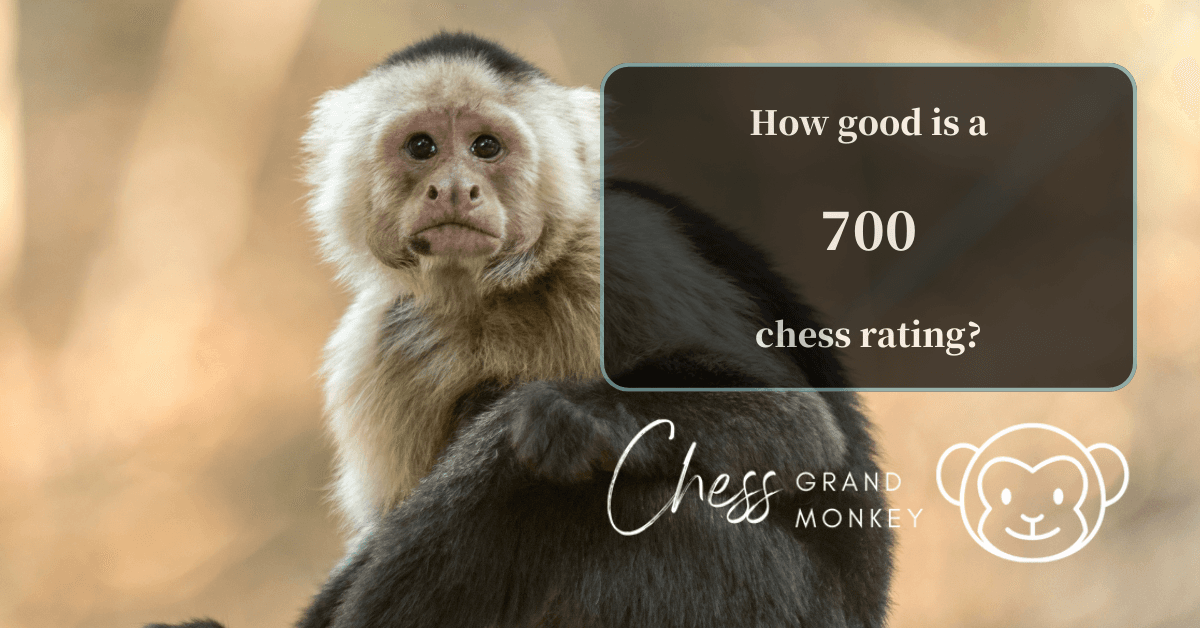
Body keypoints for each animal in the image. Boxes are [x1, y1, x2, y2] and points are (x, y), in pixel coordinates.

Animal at [145, 32, 893, 628]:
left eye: (486, 147)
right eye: (421, 147)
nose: (453, 188)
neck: (492, 296)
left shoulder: (622, 254)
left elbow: (796, 430)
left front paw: (573, 413)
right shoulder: (380, 339)